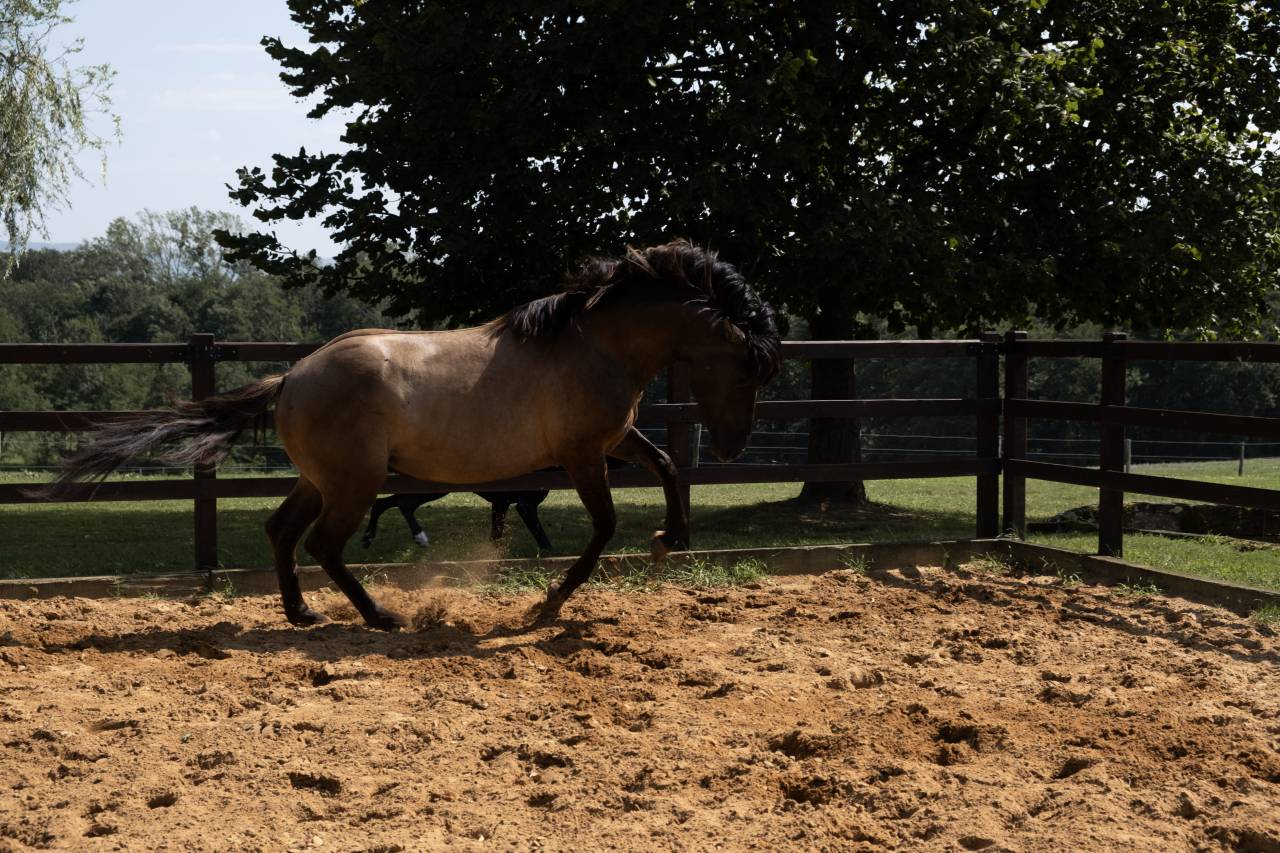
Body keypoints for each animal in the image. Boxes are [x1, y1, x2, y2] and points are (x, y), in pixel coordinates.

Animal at [42, 241, 780, 629]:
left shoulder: (613, 442)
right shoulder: (581, 456)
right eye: (750, 364)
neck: (593, 342)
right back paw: (379, 617)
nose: (734, 448)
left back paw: (303, 614)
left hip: (322, 480)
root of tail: (292, 377)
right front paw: (546, 605)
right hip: (356, 482)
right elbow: (602, 529)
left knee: (283, 531)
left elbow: (667, 467)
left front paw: (670, 537)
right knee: (323, 543)